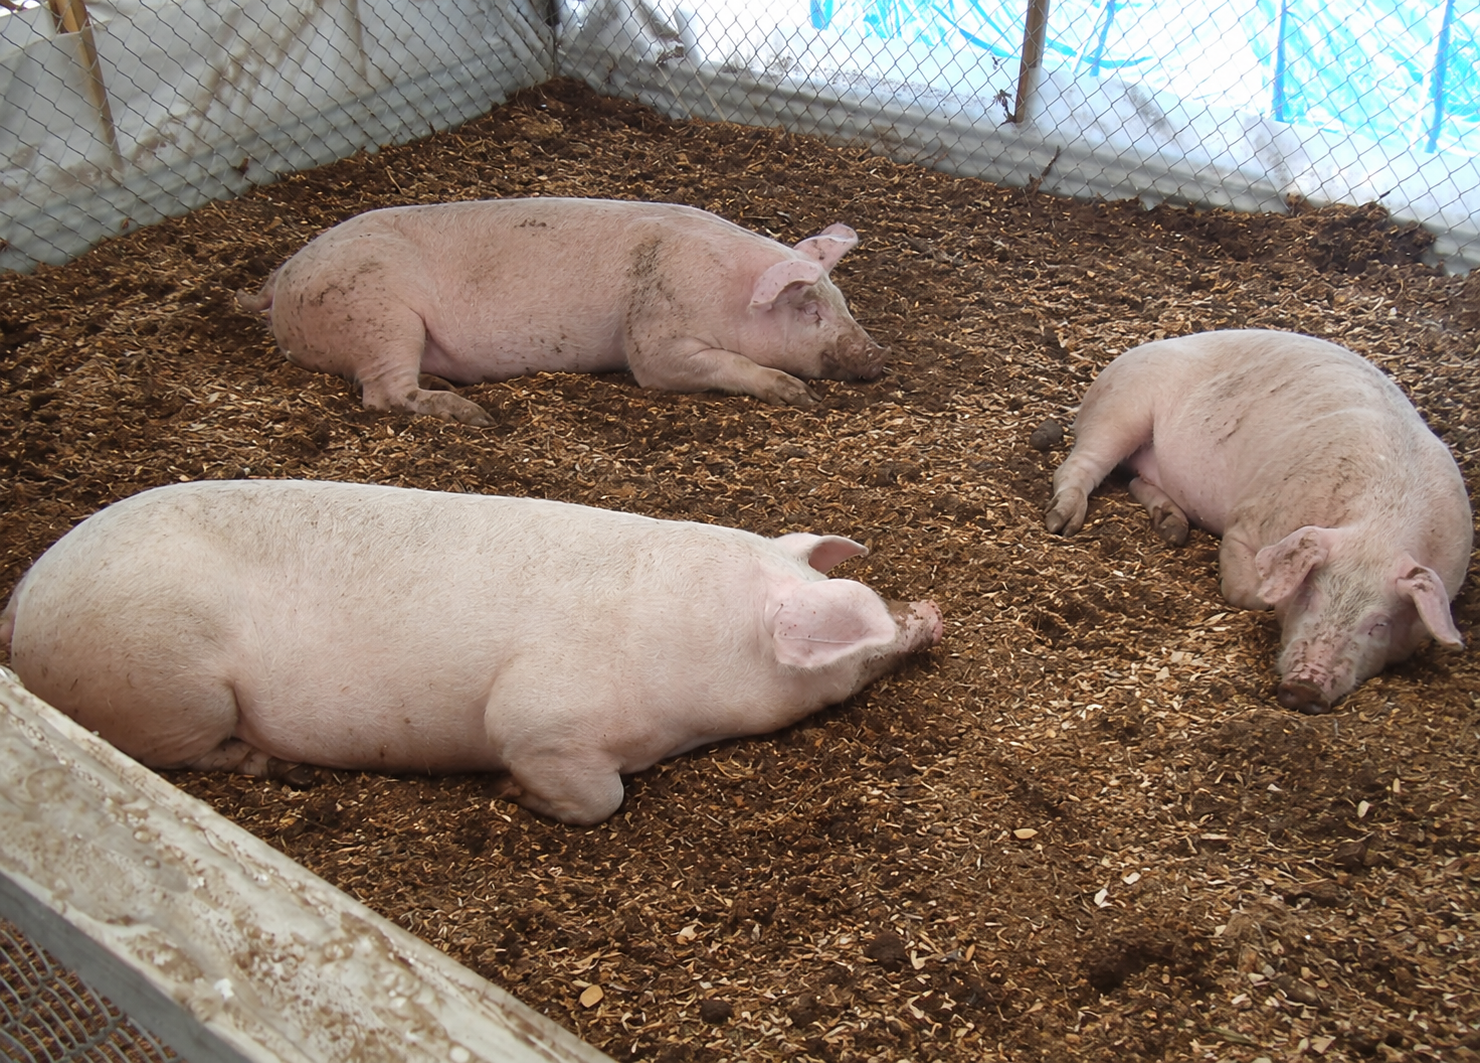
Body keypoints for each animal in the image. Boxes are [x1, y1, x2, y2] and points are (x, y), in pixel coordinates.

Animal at [1, 480, 941, 825]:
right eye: (854, 629)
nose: (930, 609)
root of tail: (24, 601)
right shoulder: (543, 715)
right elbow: (595, 794)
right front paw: (507, 793)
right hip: (164, 679)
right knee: (183, 749)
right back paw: (275, 767)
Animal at [235, 198, 886, 423]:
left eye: (842, 302)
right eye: (810, 311)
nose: (878, 356)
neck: (727, 291)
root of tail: (280, 280)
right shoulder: (654, 337)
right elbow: (711, 366)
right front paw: (800, 396)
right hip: (376, 311)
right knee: (383, 393)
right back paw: (474, 414)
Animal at [1044, 329, 1472, 714]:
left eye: (1379, 624)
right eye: (1310, 595)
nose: (1303, 690)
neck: (1380, 529)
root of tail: (1130, 354)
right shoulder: (1246, 525)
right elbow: (1252, 595)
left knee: (1133, 479)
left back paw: (1173, 530)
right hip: (1120, 410)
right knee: (1080, 465)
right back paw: (1062, 522)